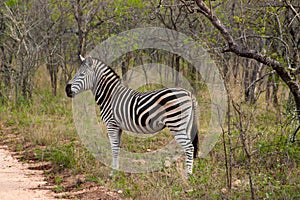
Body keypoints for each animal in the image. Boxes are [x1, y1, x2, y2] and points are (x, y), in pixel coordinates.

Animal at [65, 55, 199, 177]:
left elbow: (113, 148)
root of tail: (188, 93)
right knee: (189, 147)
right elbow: (117, 148)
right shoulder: (118, 127)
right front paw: (117, 170)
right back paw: (187, 173)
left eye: (82, 74)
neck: (110, 97)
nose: (67, 90)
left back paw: (188, 176)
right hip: (185, 125)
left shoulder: (111, 125)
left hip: (176, 124)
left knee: (189, 147)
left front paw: (113, 173)